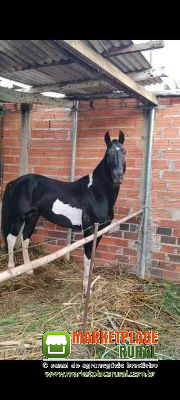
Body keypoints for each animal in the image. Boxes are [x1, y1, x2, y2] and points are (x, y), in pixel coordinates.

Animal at [1, 130, 126, 292]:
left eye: (124, 151)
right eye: (108, 153)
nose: (118, 176)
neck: (96, 192)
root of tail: (14, 182)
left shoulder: (100, 231)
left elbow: (92, 258)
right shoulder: (89, 230)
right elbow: (87, 258)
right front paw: (85, 288)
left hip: (32, 217)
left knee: (25, 239)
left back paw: (28, 270)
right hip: (18, 217)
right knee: (11, 239)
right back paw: (11, 269)